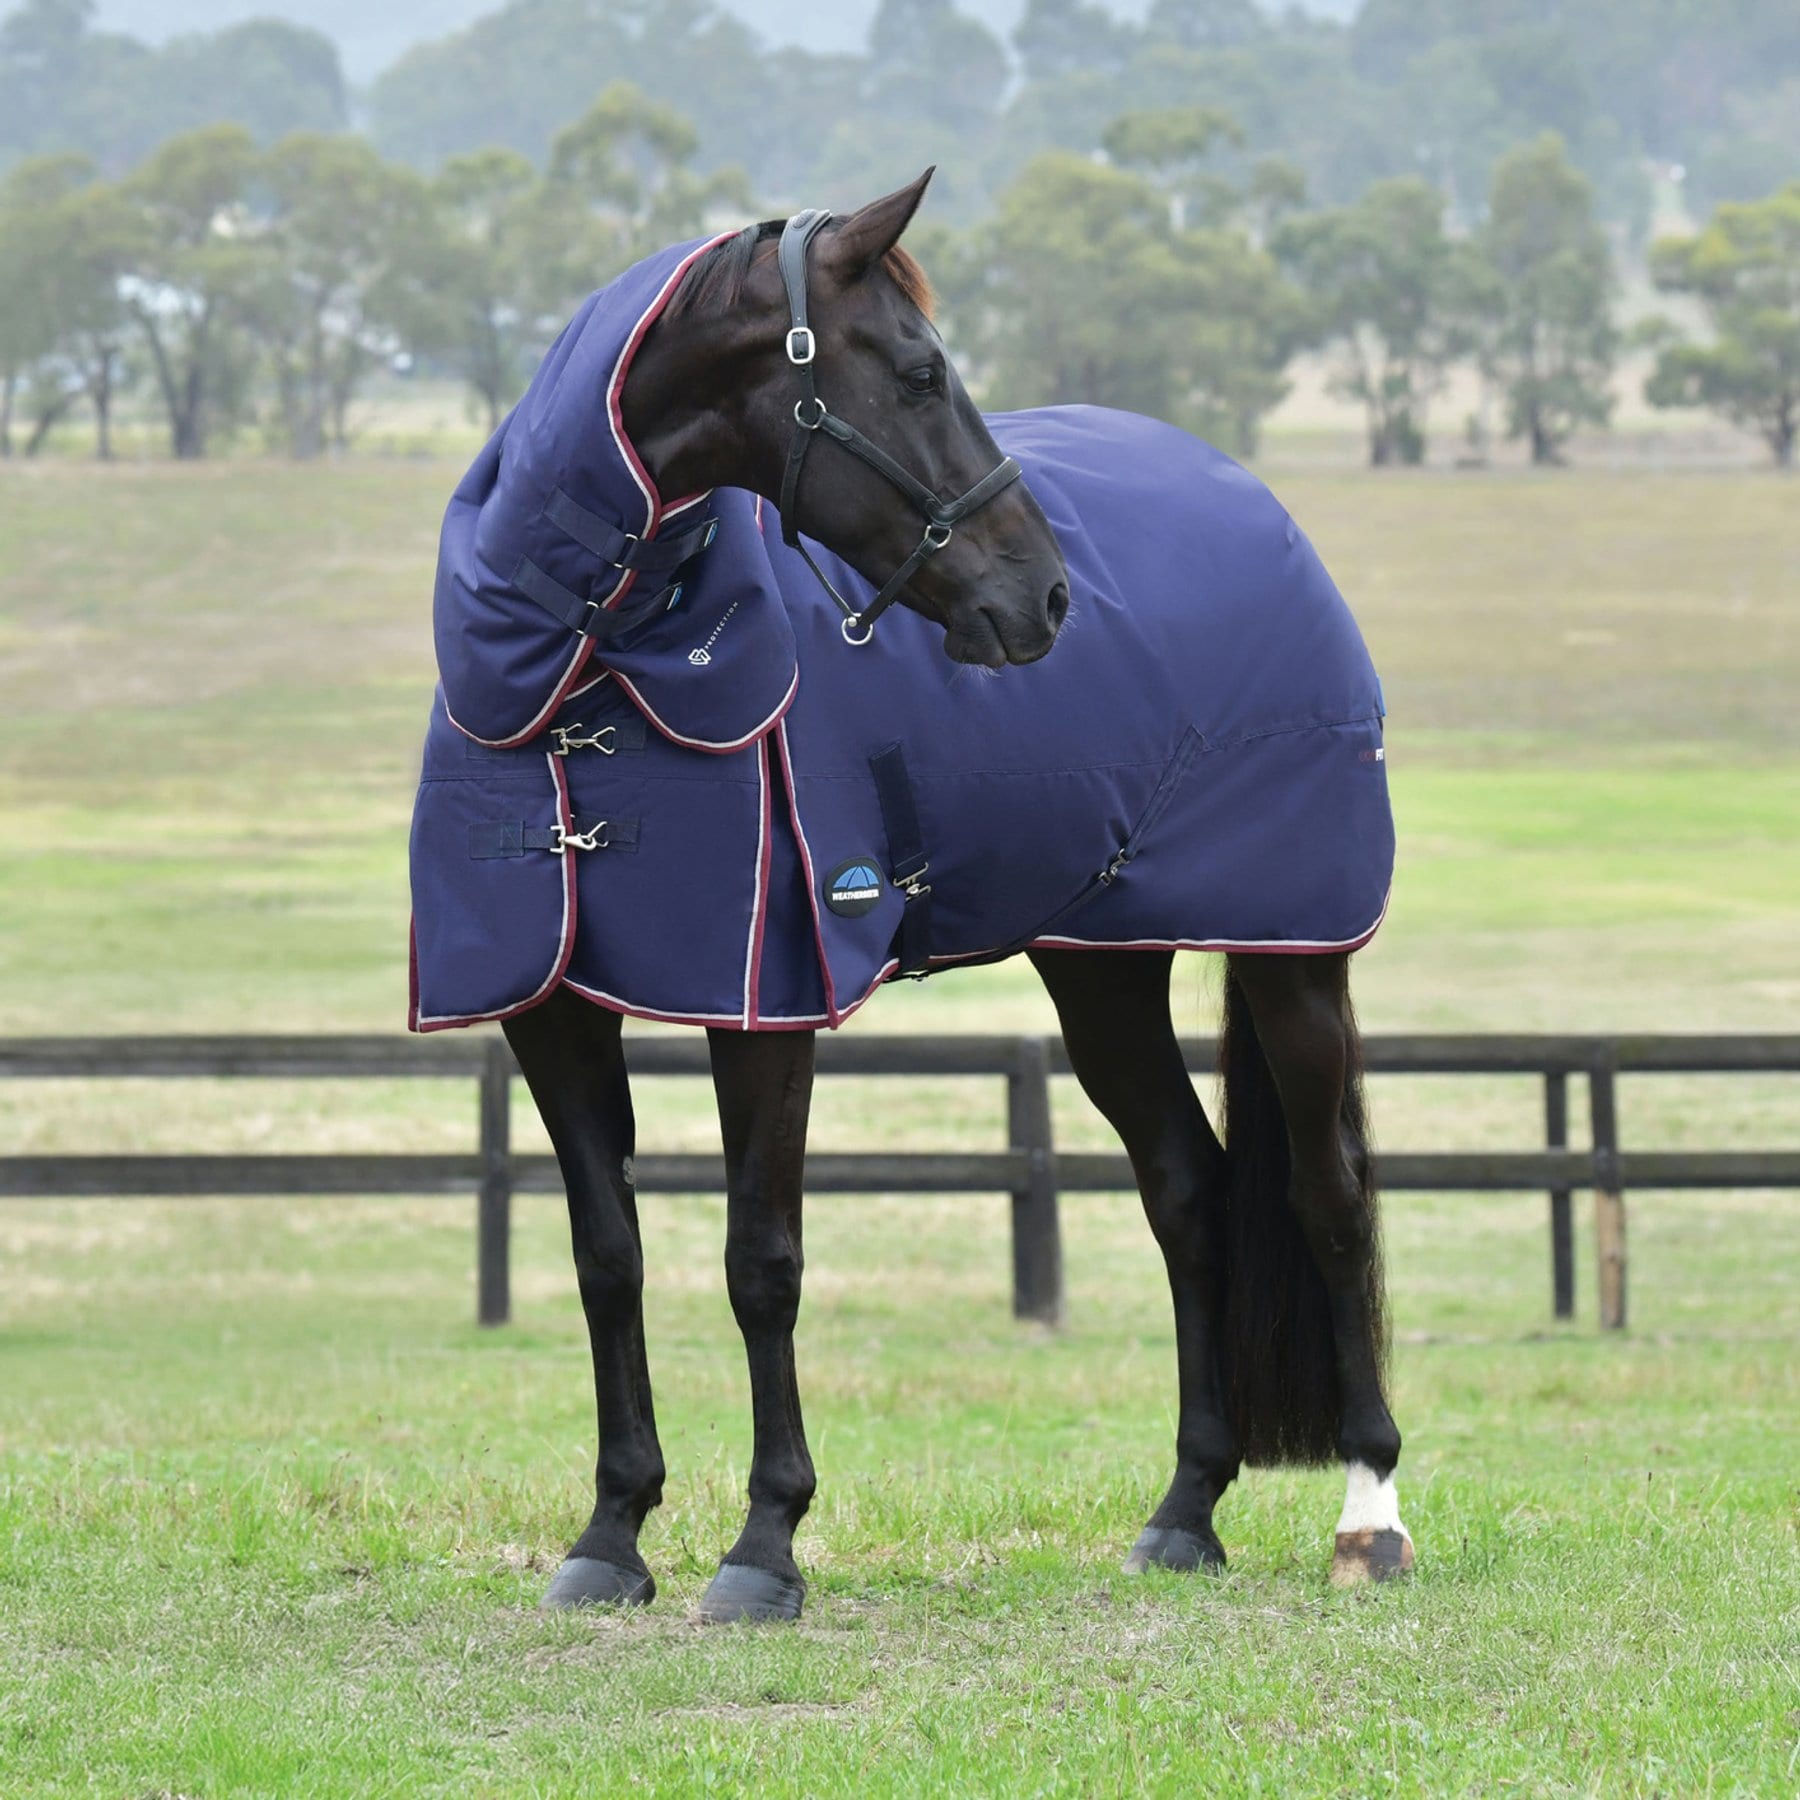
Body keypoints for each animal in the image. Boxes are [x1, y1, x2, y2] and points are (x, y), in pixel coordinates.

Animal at [409, 171, 1410, 1623]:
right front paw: (611, 1534)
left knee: (1330, 1196)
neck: (593, 673)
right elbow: (609, 1255)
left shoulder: (763, 1005)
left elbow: (760, 1261)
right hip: (1102, 964)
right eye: (922, 371)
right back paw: (1184, 1511)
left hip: (1292, 950)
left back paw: (1371, 1512)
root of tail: (1253, 501)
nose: (1045, 596)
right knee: (1189, 1189)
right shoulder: (550, 1008)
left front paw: (764, 1544)